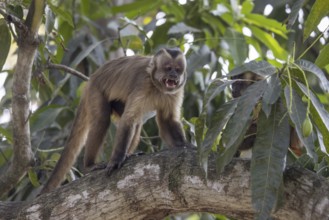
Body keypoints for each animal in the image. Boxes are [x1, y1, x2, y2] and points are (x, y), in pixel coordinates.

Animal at [41, 47, 191, 192]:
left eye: (178, 70)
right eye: (168, 68)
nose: (174, 75)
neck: (157, 87)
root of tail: (91, 79)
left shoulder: (176, 92)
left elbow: (167, 120)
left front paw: (184, 145)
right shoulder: (143, 84)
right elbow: (128, 119)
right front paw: (116, 159)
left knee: (137, 122)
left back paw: (128, 155)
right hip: (95, 91)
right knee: (102, 120)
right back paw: (90, 165)